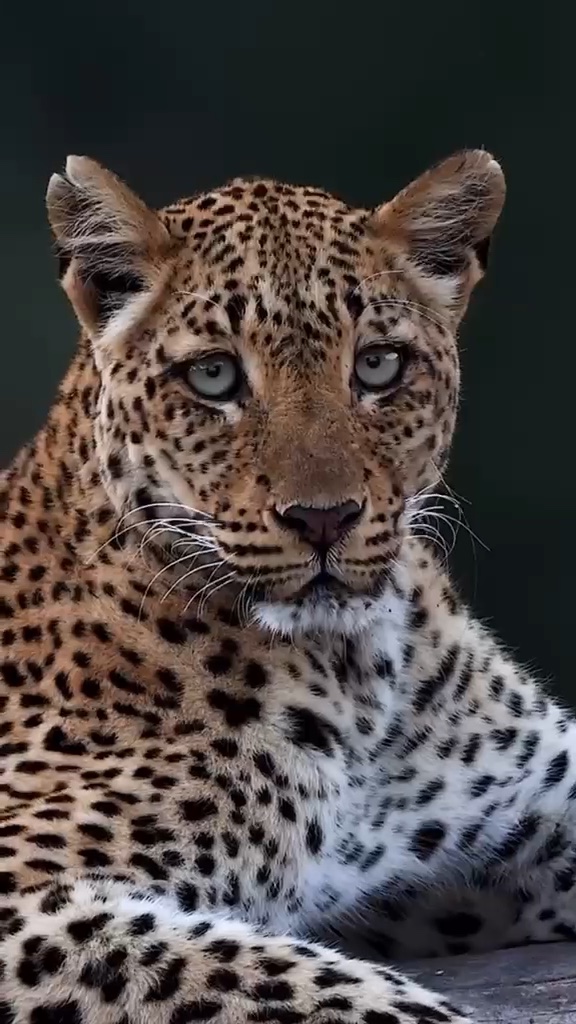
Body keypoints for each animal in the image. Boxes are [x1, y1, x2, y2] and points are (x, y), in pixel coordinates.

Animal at [0, 147, 575, 1024]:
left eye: (378, 364)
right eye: (212, 376)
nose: (324, 519)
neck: (357, 671)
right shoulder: (28, 890)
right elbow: (305, 984)